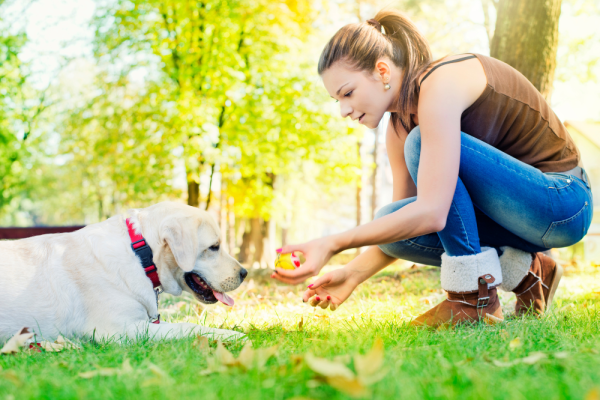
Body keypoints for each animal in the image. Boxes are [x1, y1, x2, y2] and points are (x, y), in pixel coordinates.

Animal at [0, 202, 247, 342]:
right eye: (214, 247)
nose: (244, 273)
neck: (141, 255)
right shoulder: (121, 329)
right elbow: (186, 326)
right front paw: (234, 335)